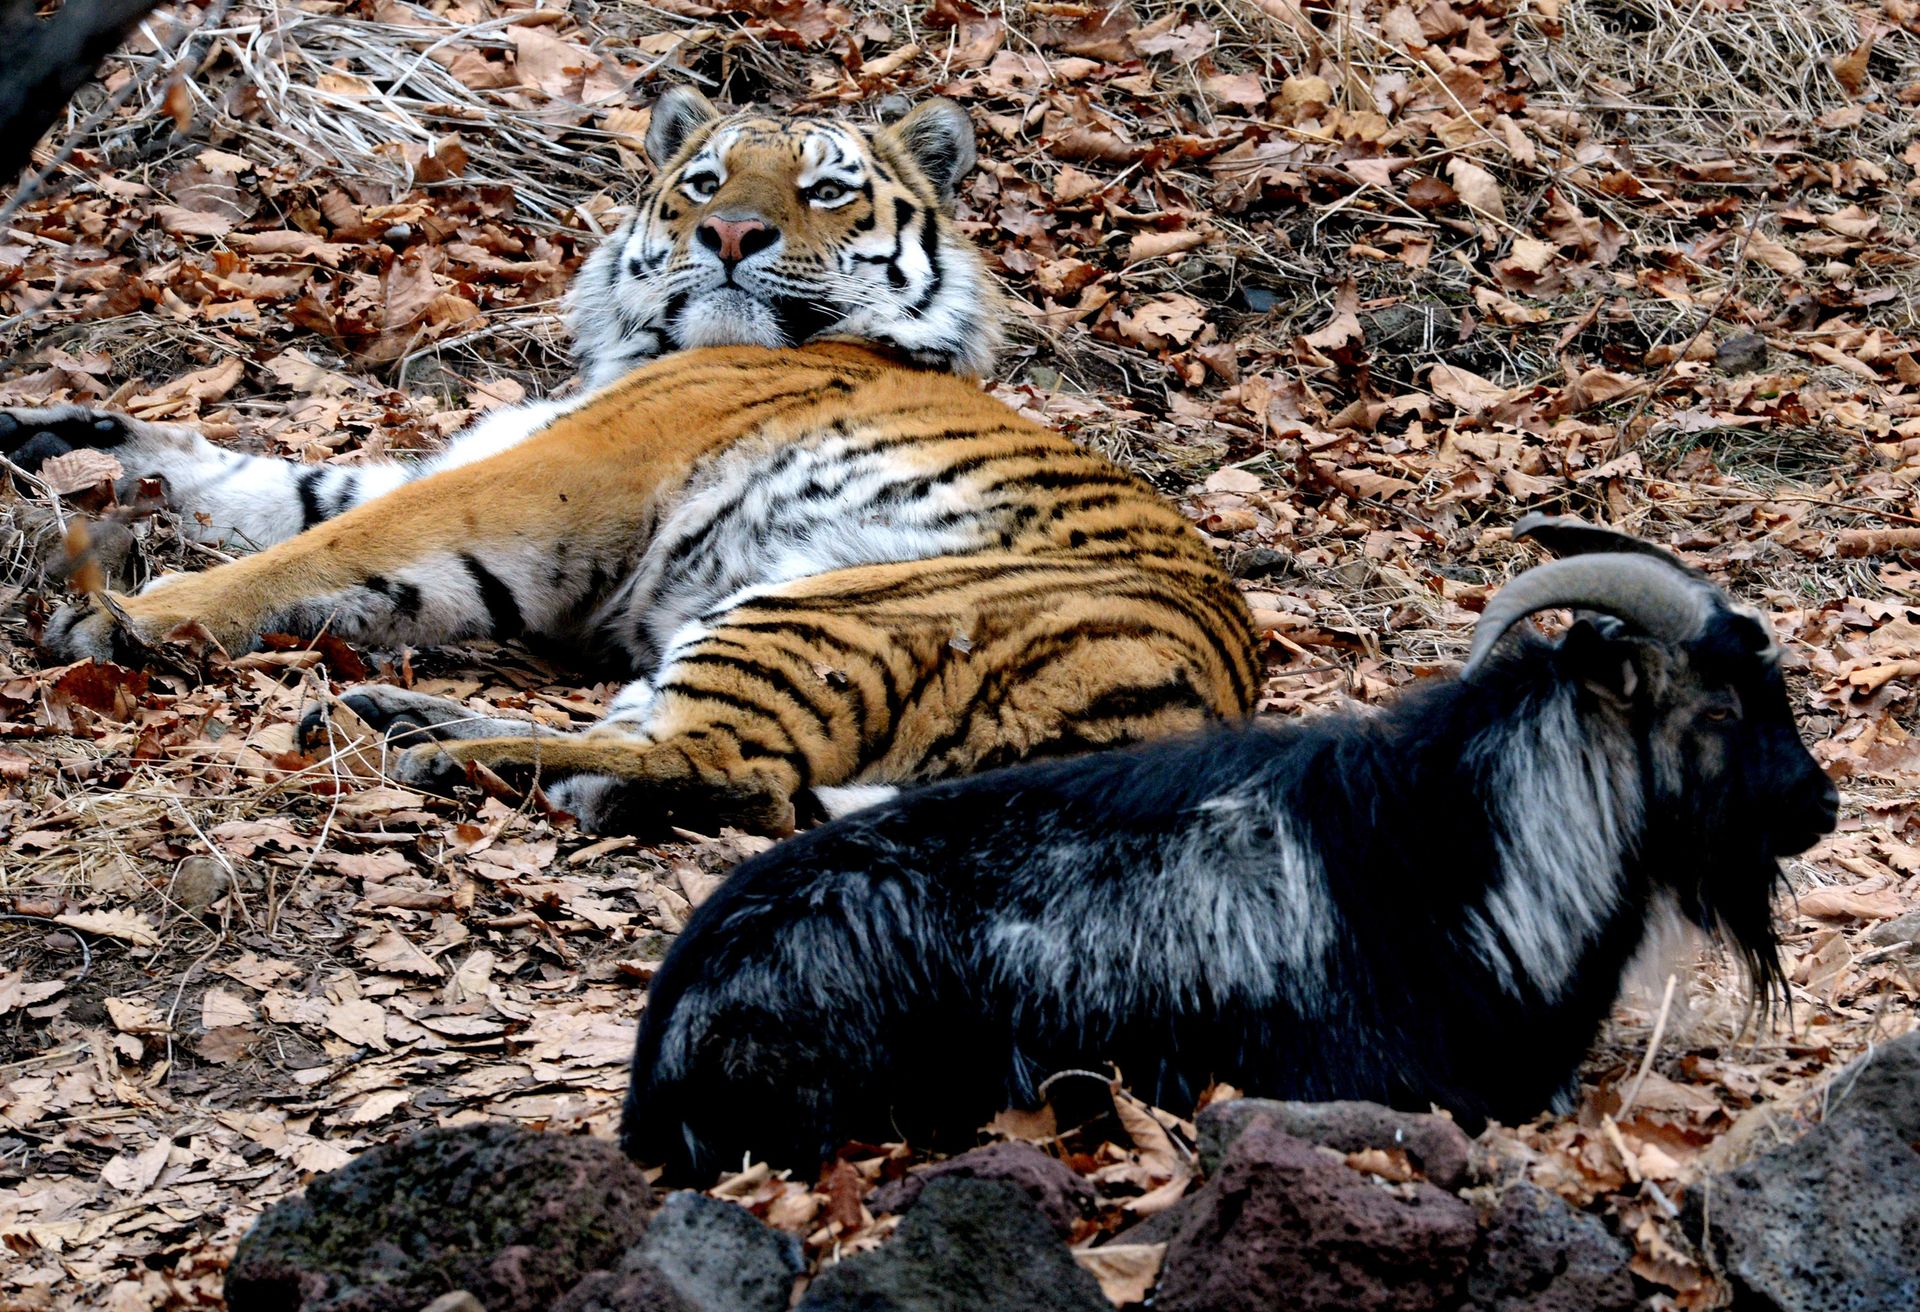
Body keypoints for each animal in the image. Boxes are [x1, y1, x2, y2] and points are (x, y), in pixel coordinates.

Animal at [2, 88, 1259, 835]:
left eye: (827, 188)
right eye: (706, 180)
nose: (732, 234)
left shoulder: (557, 472)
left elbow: (318, 543)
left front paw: (129, 616)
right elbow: (259, 483)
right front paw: (53, 434)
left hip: (839, 605)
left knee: (732, 768)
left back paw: (441, 755)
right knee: (650, 741)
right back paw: (415, 721)